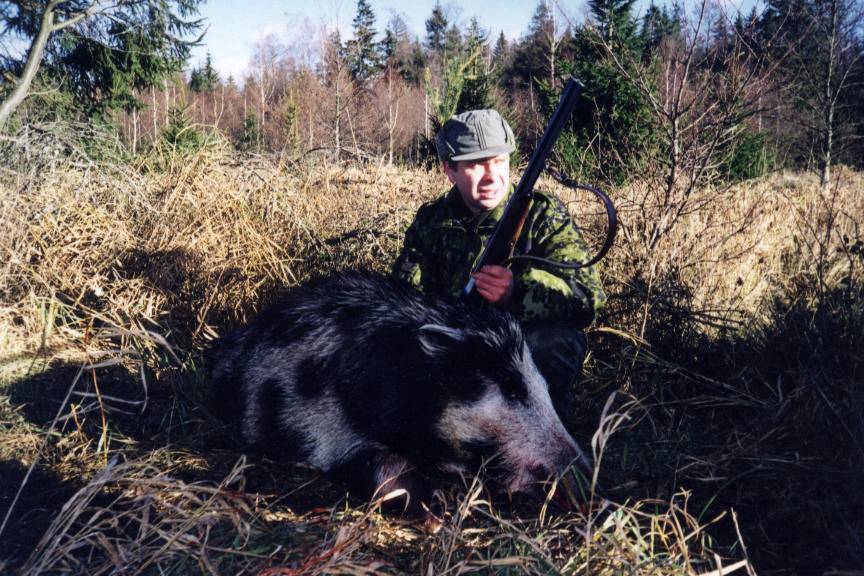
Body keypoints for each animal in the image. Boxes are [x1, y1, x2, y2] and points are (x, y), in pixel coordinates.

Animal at [209, 271, 592, 514]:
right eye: (512, 389)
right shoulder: (326, 435)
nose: (587, 474)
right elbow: (383, 469)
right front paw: (438, 507)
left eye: (544, 385)